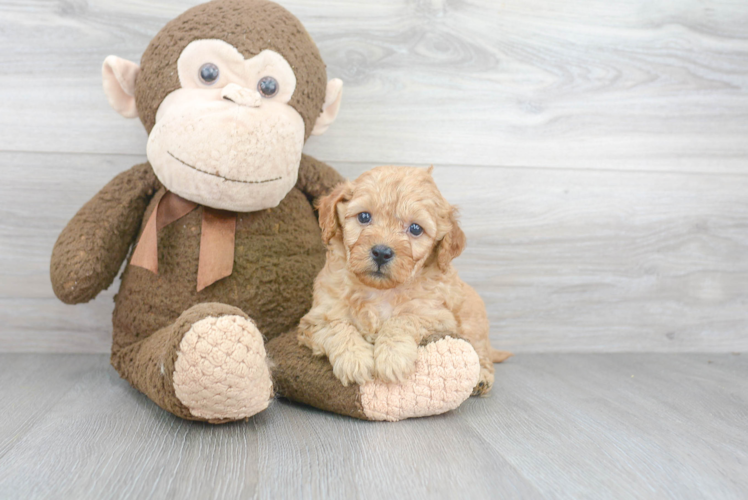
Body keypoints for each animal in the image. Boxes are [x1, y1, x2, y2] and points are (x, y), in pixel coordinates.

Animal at [296, 166, 512, 396]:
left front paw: (392, 357)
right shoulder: (315, 319)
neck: (380, 291)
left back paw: (482, 379)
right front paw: (354, 359)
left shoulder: (436, 316)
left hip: (474, 323)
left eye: (415, 229)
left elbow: (402, 319)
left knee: (482, 353)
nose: (381, 252)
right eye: (364, 216)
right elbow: (337, 326)